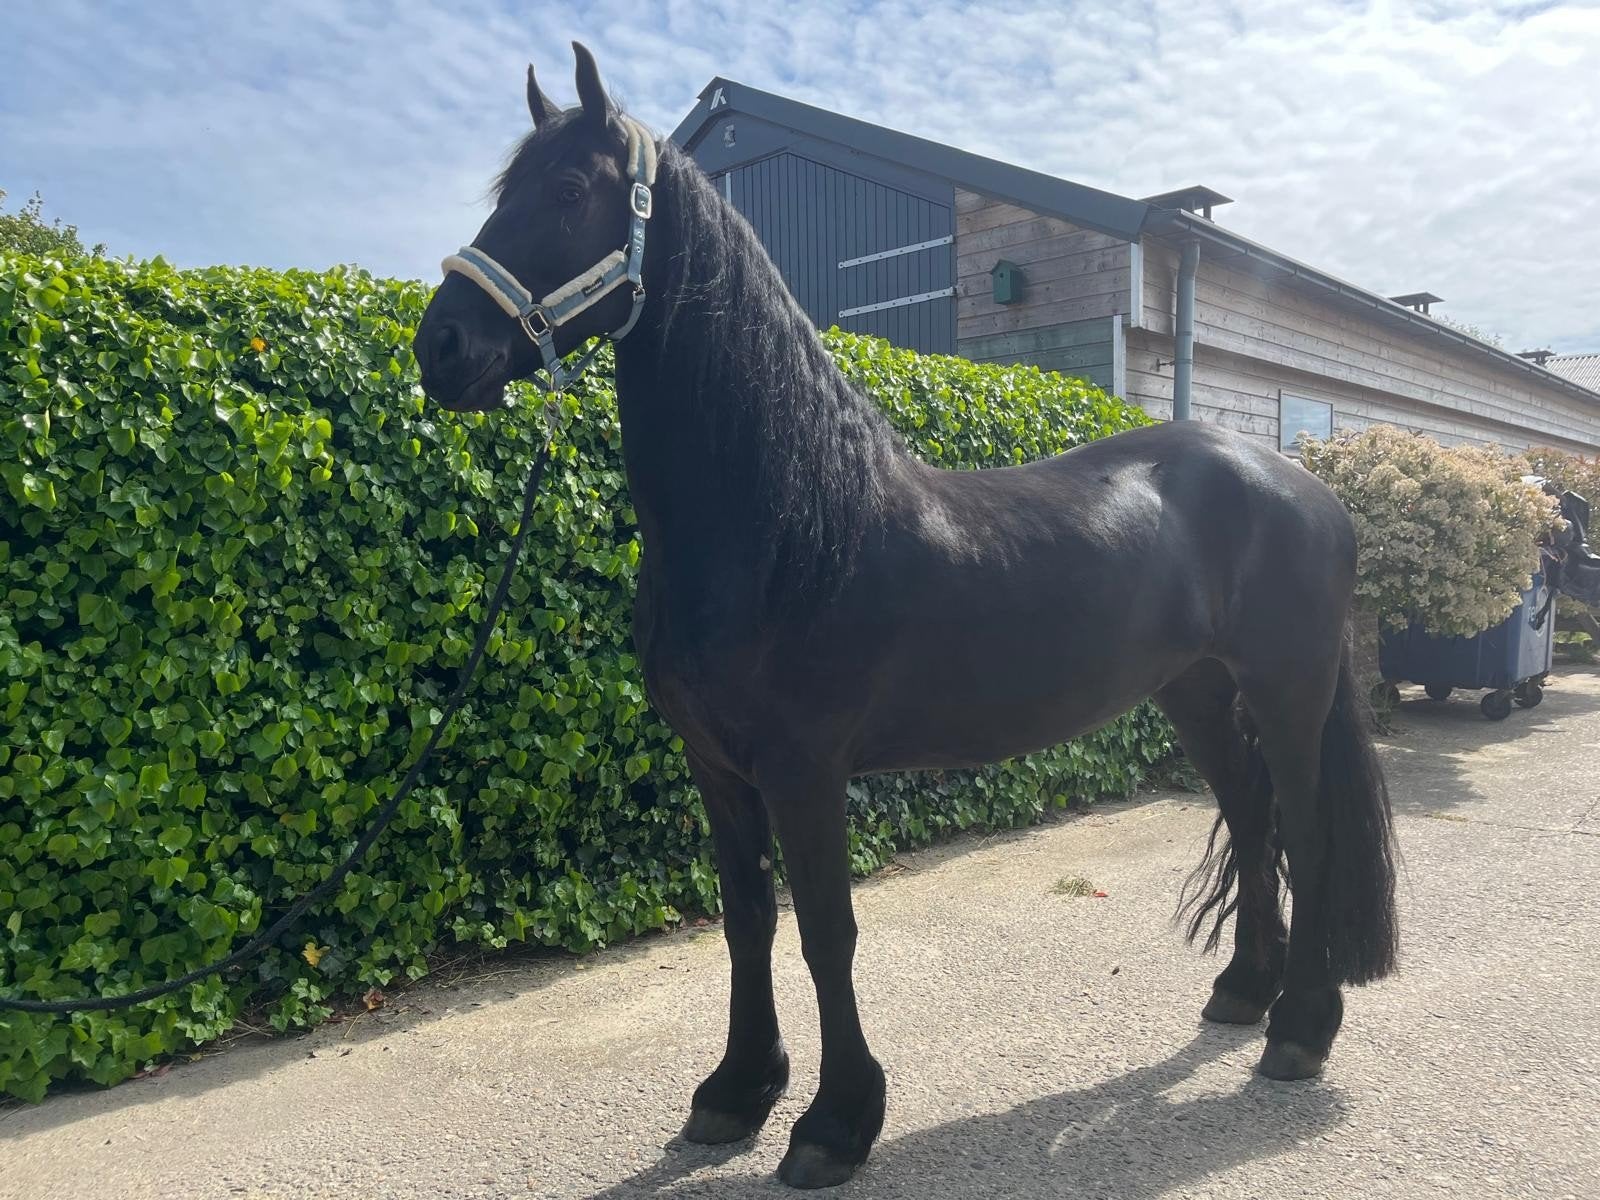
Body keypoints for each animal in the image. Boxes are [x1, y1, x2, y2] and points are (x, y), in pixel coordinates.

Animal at [413, 44, 1398, 1190]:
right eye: (504, 191)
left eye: (570, 191)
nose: (442, 348)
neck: (786, 522)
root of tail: (1306, 484)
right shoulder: (718, 767)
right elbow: (747, 924)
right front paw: (735, 1091)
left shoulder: (805, 770)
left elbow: (824, 932)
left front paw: (835, 1123)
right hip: (1195, 693)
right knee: (1250, 819)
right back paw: (1243, 994)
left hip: (1286, 691)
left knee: (1303, 831)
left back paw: (1300, 1029)